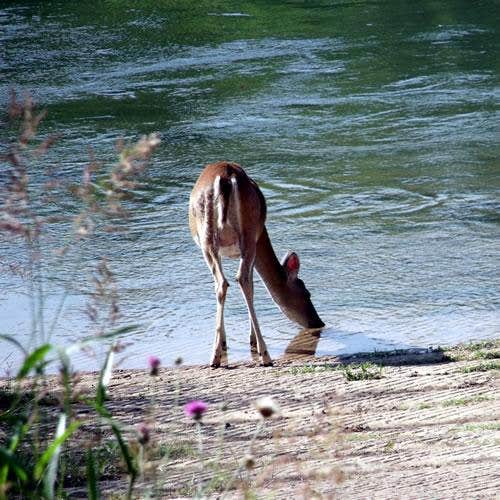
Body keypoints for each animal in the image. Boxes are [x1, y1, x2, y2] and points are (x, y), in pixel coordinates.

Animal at [188, 161, 324, 368]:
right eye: (307, 293)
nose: (318, 322)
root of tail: (226, 178)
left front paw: (228, 341)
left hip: (216, 237)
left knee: (228, 281)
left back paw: (223, 356)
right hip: (244, 234)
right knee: (237, 280)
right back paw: (261, 355)